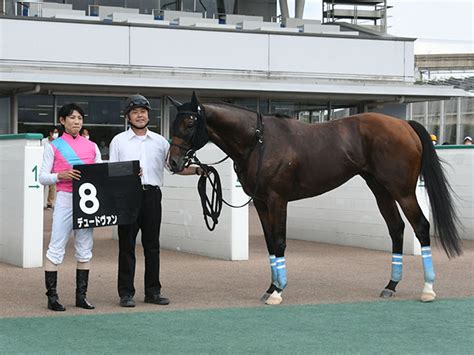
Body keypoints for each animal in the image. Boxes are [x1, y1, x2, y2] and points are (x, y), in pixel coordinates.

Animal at [168, 92, 462, 306]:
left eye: (190, 123)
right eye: (173, 123)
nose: (173, 162)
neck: (259, 143)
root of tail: (404, 124)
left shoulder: (277, 200)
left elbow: (279, 241)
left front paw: (278, 292)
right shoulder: (261, 202)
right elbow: (270, 244)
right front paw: (271, 287)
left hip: (403, 191)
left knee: (421, 227)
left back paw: (428, 289)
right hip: (380, 190)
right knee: (396, 229)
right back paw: (391, 285)